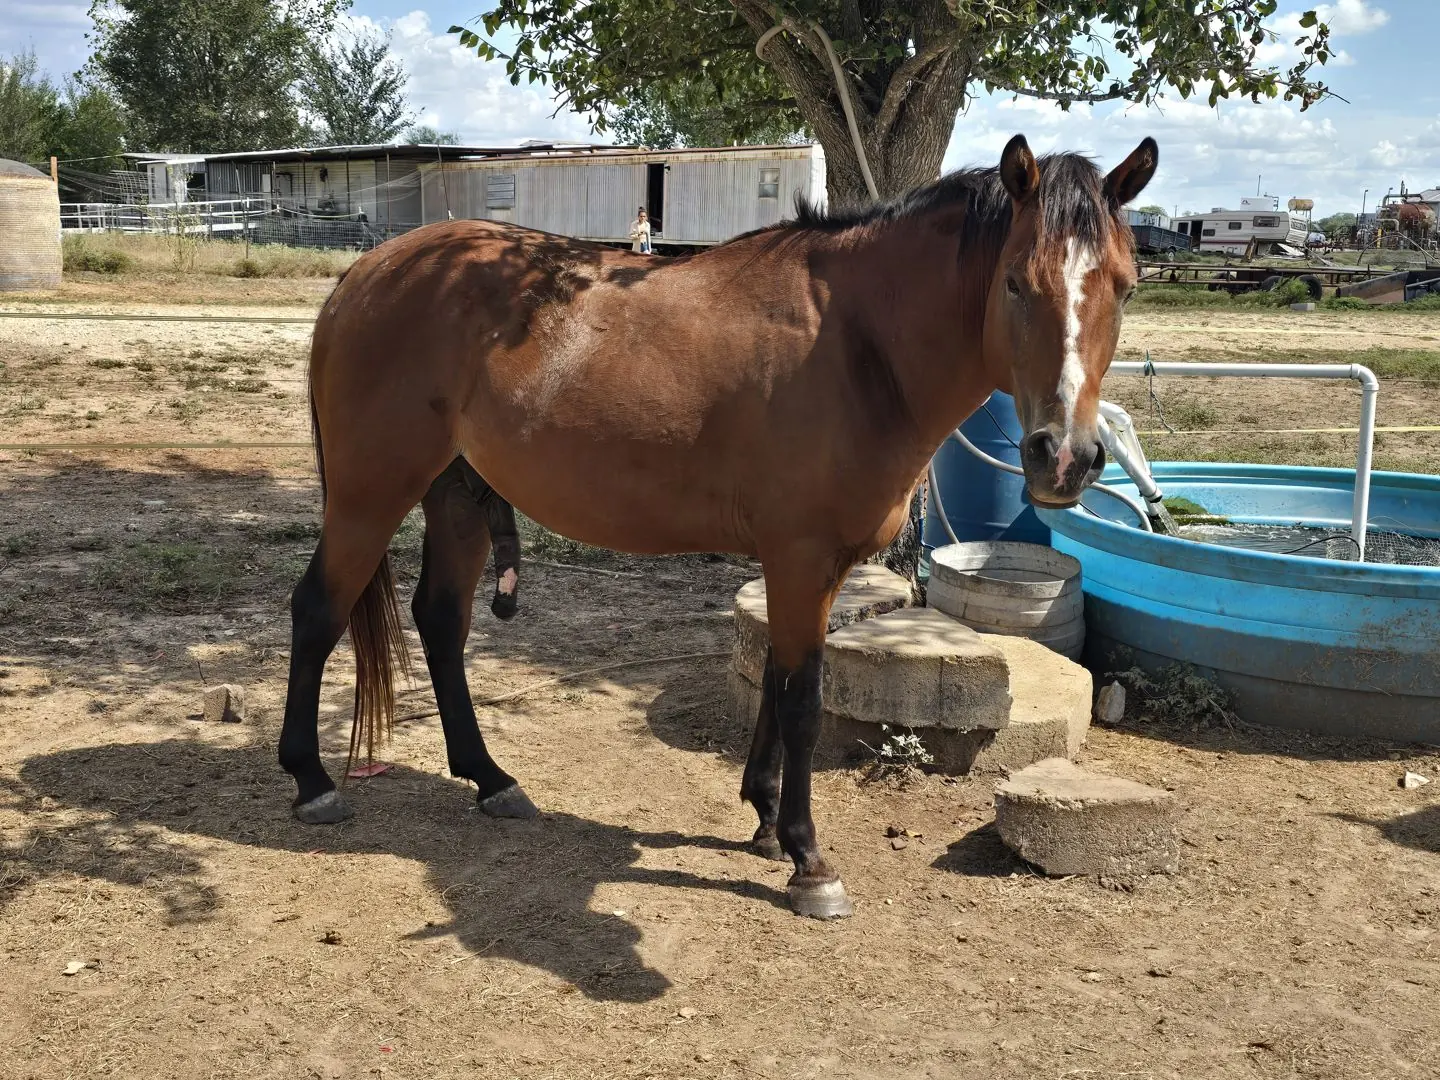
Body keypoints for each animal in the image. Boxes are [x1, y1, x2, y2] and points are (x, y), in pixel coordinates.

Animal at [280, 133, 1158, 919]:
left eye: (1124, 286)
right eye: (1014, 283)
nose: (1063, 456)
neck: (856, 343)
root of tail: (369, 271)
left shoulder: (803, 564)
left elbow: (775, 676)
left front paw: (764, 820)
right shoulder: (800, 556)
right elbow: (803, 698)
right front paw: (808, 858)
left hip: (458, 494)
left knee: (439, 620)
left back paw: (490, 779)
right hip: (369, 494)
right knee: (319, 610)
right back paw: (313, 782)